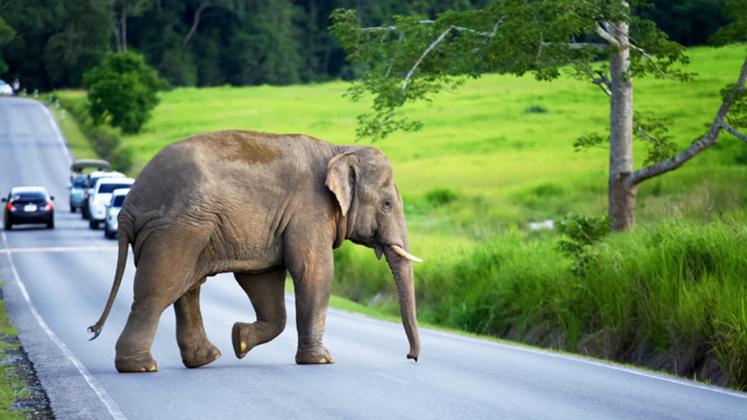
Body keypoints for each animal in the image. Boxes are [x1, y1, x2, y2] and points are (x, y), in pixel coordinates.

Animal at [88, 130, 422, 372]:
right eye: (387, 204)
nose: (411, 357)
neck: (338, 149)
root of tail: (128, 207)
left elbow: (263, 281)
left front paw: (240, 339)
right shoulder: (309, 211)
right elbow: (314, 272)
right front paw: (322, 360)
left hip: (187, 229)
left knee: (187, 287)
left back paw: (206, 359)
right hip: (176, 229)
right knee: (159, 289)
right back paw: (141, 368)